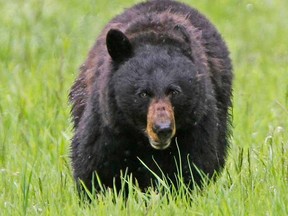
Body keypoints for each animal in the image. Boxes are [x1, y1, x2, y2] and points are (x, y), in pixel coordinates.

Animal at [69, 0, 232, 193]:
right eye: (143, 93)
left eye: (174, 91)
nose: (162, 129)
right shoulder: (108, 121)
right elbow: (95, 164)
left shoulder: (196, 122)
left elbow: (193, 165)